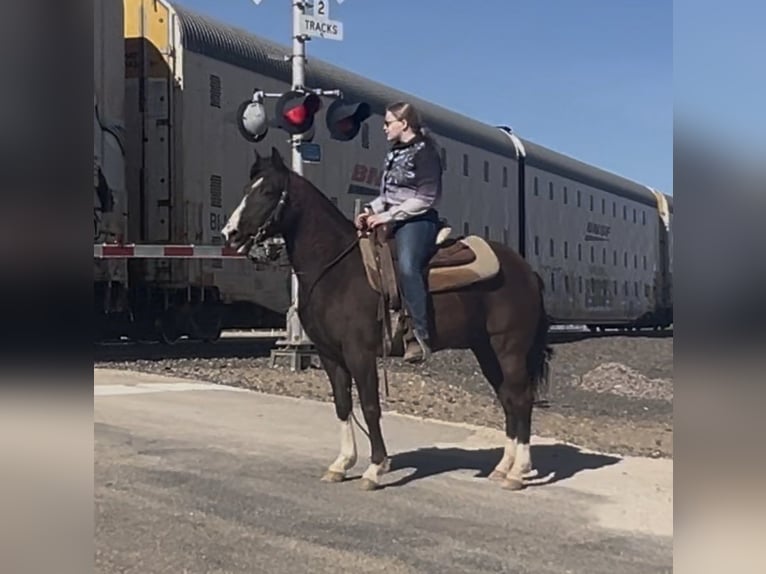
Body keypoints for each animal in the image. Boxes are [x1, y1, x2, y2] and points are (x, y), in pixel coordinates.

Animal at [222, 147, 553, 491]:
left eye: (268, 191)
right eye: (247, 189)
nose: (230, 233)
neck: (337, 269)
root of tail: (526, 271)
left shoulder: (360, 353)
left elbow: (370, 407)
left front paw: (375, 468)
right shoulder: (329, 355)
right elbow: (342, 404)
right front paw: (341, 464)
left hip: (509, 349)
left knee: (521, 398)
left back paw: (518, 472)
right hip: (486, 349)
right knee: (507, 398)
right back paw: (503, 467)